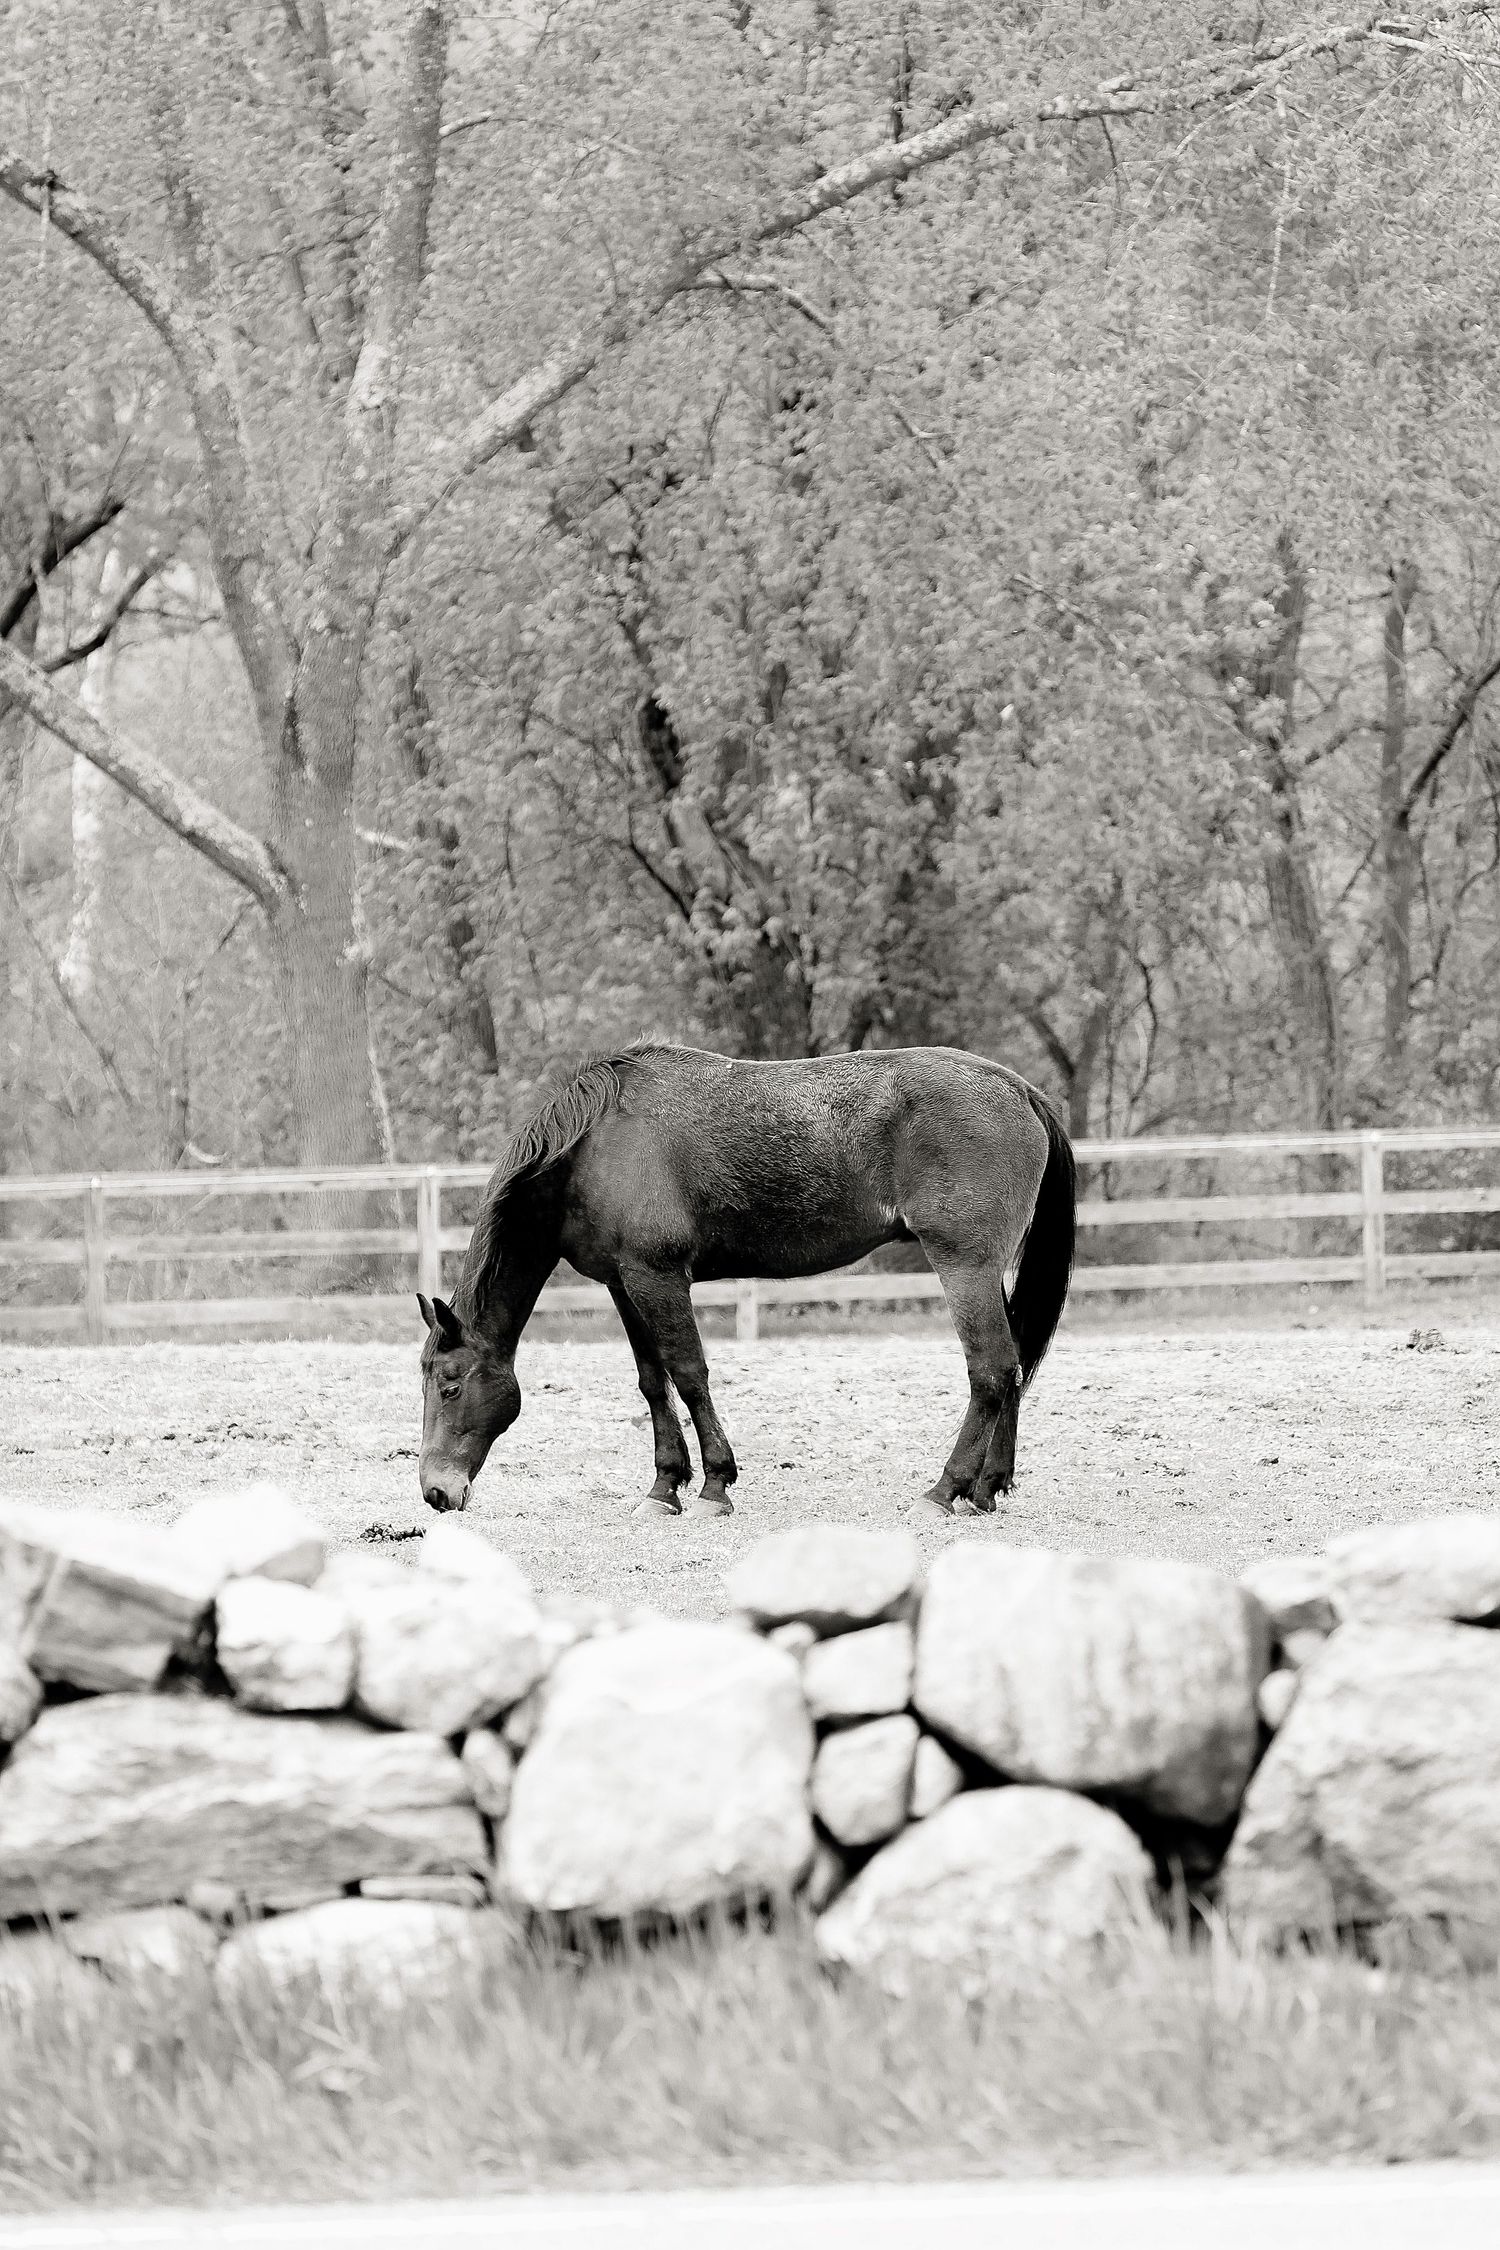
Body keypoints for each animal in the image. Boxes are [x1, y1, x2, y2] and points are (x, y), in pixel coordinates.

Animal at [417, 1042, 1076, 1522]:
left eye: (450, 1385)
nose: (435, 1493)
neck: (594, 1147)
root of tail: (1018, 1089)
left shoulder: (658, 1277)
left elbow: (689, 1375)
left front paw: (714, 1484)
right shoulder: (623, 1283)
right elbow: (653, 1383)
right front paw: (663, 1487)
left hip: (965, 1266)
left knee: (991, 1372)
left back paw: (945, 1490)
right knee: (1014, 1366)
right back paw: (987, 1488)